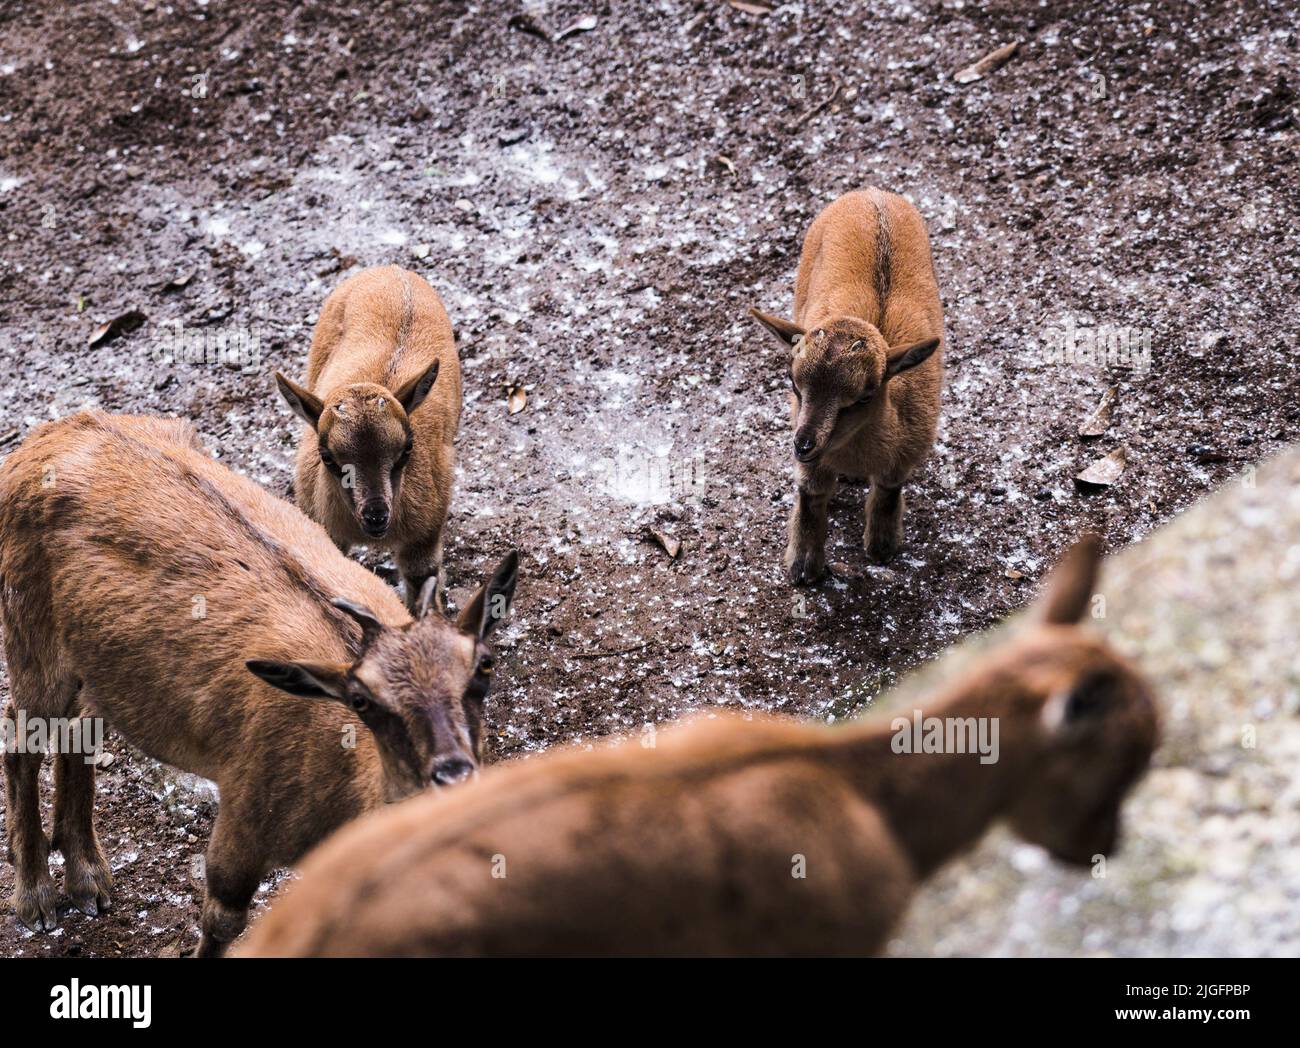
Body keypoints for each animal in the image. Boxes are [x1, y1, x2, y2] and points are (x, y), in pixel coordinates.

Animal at [0, 413, 517, 956]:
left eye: (483, 668)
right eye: (362, 700)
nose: (452, 774)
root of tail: (51, 432)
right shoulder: (245, 810)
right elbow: (221, 921)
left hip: (93, 662)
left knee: (79, 726)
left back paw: (89, 879)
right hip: (29, 634)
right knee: (22, 737)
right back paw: (36, 895)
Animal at [754, 187, 946, 582]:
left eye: (864, 396)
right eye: (793, 384)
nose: (803, 444)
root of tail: (872, 193)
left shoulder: (907, 451)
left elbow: (888, 490)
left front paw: (882, 545)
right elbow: (811, 496)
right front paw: (803, 566)